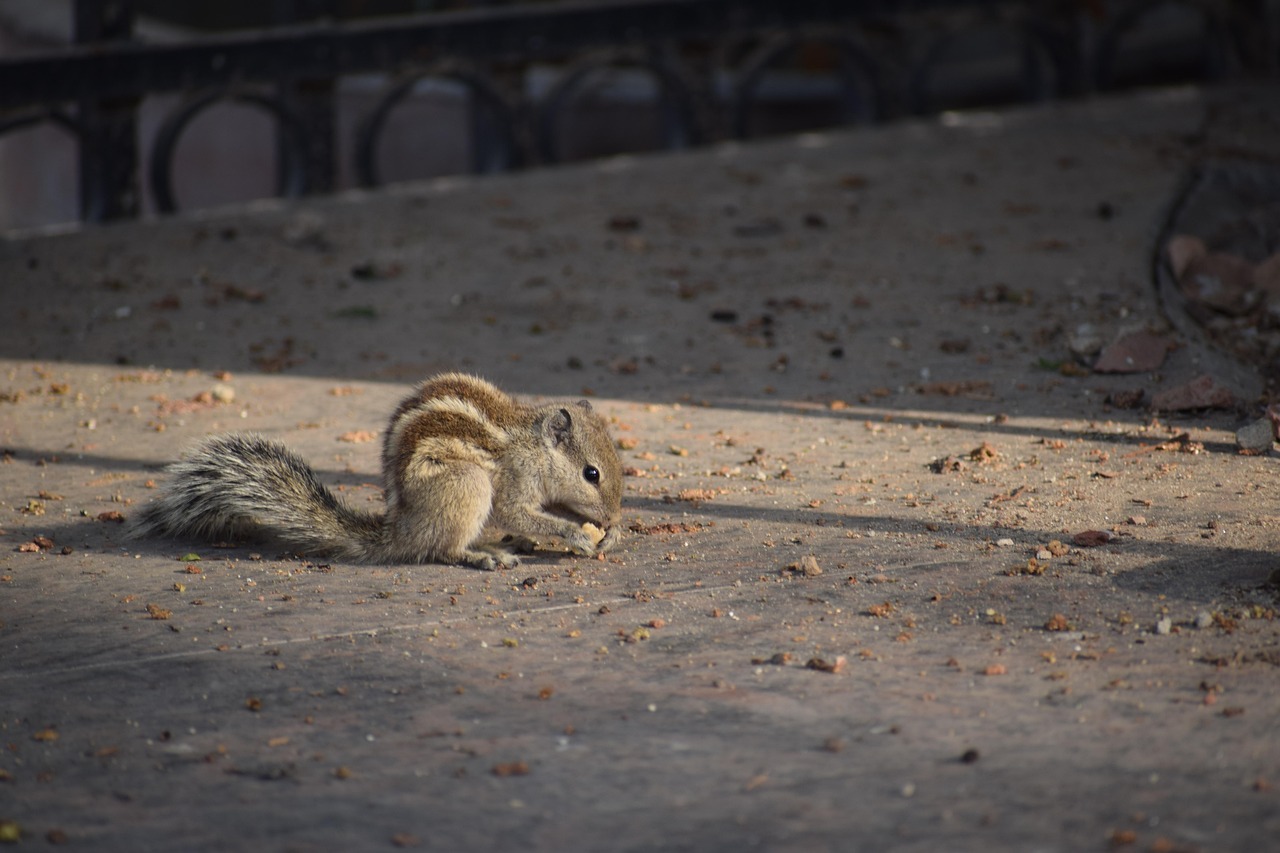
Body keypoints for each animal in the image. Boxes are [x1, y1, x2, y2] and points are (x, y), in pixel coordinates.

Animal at [131, 371, 624, 563]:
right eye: (592, 474)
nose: (614, 515)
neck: (532, 443)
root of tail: (399, 530)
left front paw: (610, 533)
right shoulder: (513, 483)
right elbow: (519, 512)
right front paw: (577, 535)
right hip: (466, 484)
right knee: (441, 550)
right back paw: (483, 554)